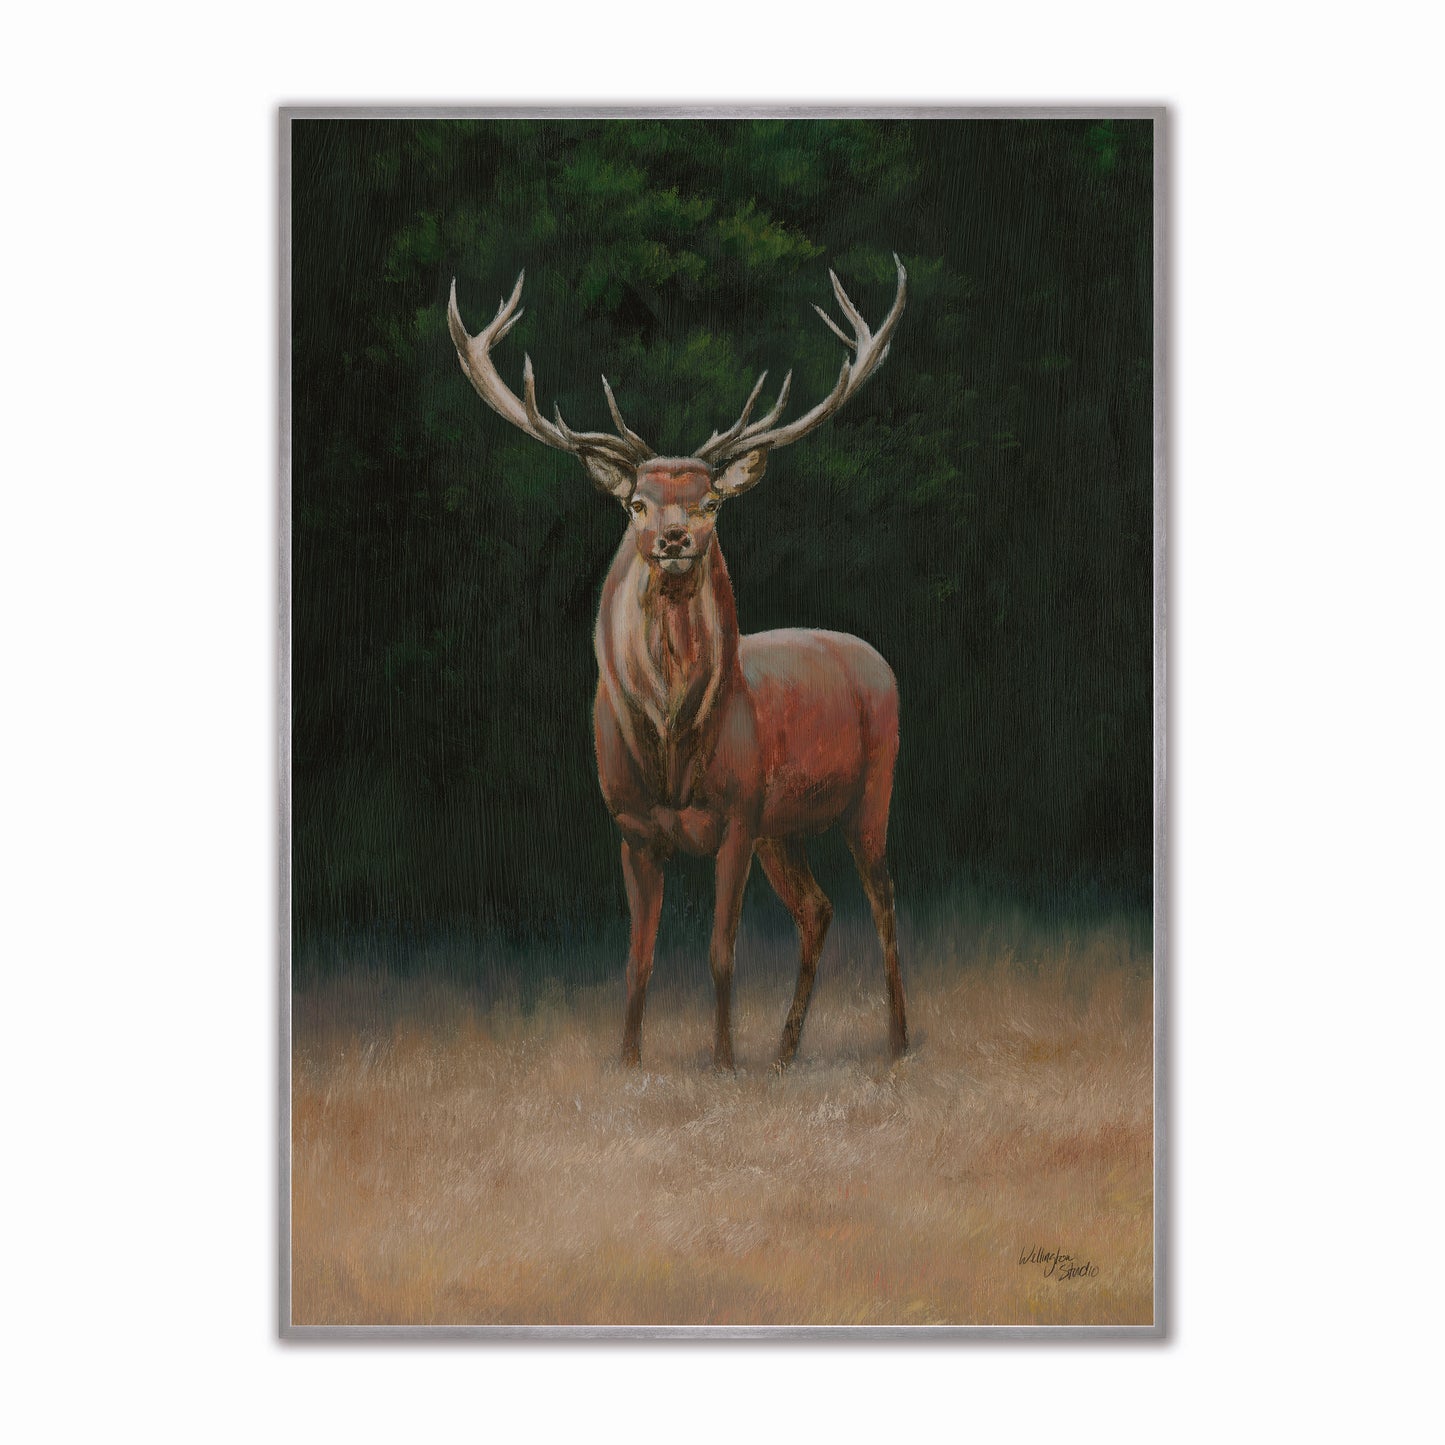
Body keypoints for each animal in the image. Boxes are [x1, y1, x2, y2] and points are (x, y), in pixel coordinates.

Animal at [448, 256, 909, 1073]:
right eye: (635, 502)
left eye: (710, 502)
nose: (673, 539)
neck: (669, 744)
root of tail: (873, 656)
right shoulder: (633, 828)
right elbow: (639, 954)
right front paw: (629, 1059)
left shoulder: (734, 815)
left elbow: (721, 951)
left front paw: (723, 1061)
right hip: (783, 827)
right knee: (818, 909)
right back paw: (786, 1049)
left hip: (871, 790)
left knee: (884, 902)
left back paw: (896, 1043)